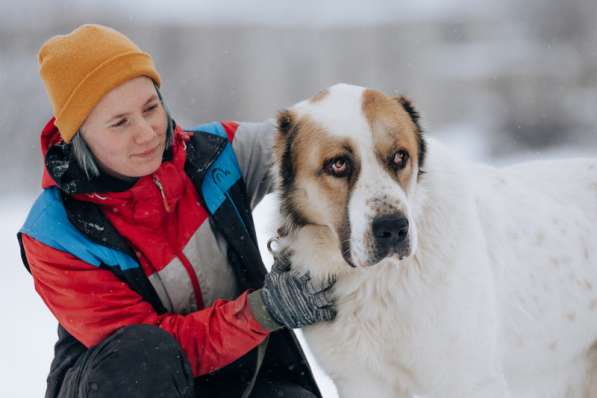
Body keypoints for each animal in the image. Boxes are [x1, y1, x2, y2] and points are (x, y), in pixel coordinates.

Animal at [268, 82, 596, 396]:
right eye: (338, 164)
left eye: (400, 156)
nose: (393, 228)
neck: (377, 281)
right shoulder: (362, 381)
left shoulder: (467, 379)